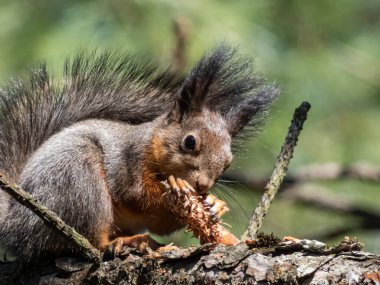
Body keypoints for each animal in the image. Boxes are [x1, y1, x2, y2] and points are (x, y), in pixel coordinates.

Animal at [0, 44, 280, 262]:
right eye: (190, 142)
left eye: (228, 163)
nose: (202, 186)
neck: (151, 146)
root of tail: (13, 223)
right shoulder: (128, 160)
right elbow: (135, 194)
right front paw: (174, 194)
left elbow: (161, 225)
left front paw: (214, 204)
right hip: (76, 180)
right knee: (89, 240)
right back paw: (125, 242)